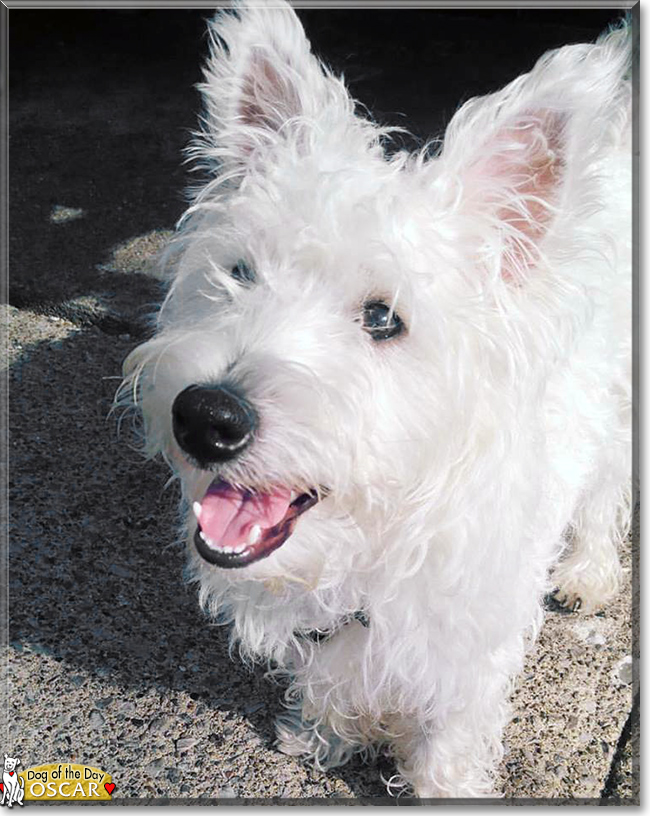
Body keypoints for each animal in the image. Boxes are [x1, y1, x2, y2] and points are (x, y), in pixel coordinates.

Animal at [121, 1, 628, 796]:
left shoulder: (470, 640)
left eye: (384, 318)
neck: (377, 537)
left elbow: (452, 732)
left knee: (605, 493)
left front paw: (445, 789)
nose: (206, 418)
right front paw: (324, 735)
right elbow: (334, 680)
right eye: (240, 272)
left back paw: (588, 574)